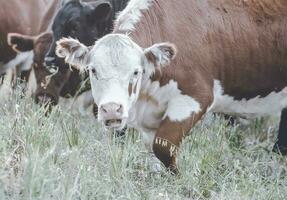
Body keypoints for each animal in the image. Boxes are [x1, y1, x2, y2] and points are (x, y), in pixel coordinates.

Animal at [55, 0, 287, 172]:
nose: (112, 109)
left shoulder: (195, 97)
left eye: (136, 72)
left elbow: (163, 147)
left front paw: (178, 177)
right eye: (93, 70)